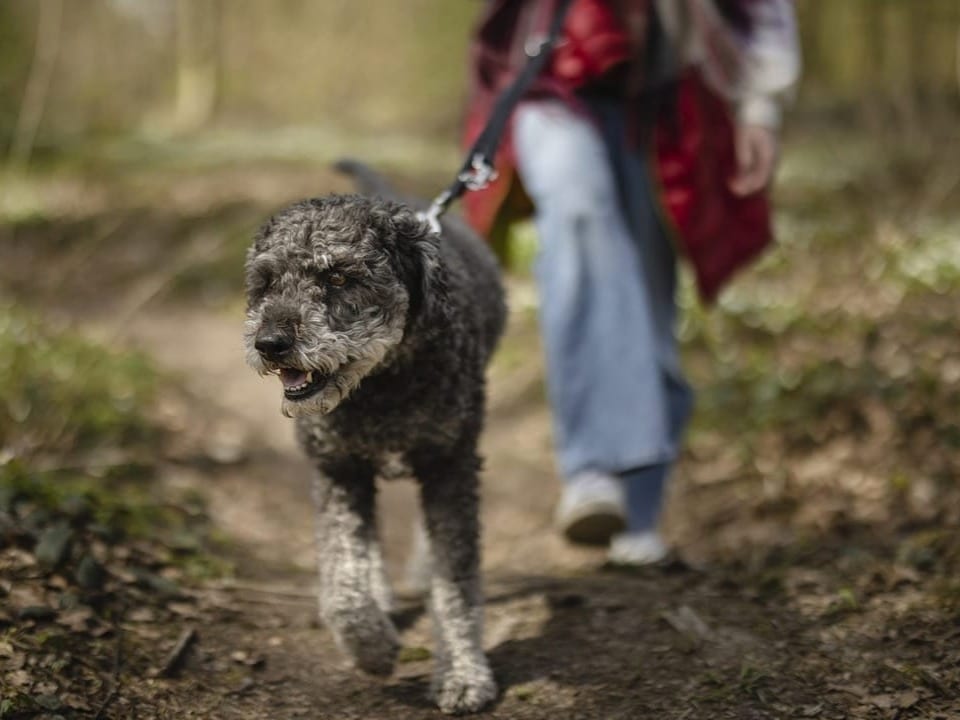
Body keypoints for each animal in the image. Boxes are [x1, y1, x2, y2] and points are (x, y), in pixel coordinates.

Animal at [244, 162, 506, 716]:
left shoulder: (450, 464)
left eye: (338, 276)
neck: (382, 384)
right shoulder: (338, 469)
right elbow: (343, 581)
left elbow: (456, 583)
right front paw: (373, 646)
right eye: (267, 281)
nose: (270, 343)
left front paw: (463, 673)